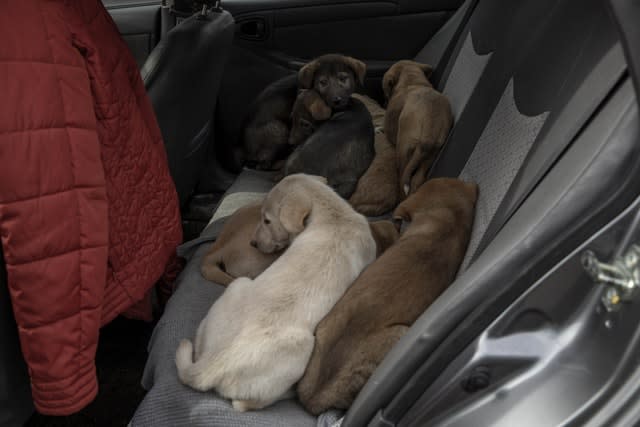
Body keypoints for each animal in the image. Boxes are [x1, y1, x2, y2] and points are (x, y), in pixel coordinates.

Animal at [172, 174, 378, 412]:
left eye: (267, 220)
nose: (253, 243)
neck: (334, 215)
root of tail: (211, 363)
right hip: (303, 347)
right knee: (244, 404)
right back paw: (286, 394)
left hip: (236, 287)